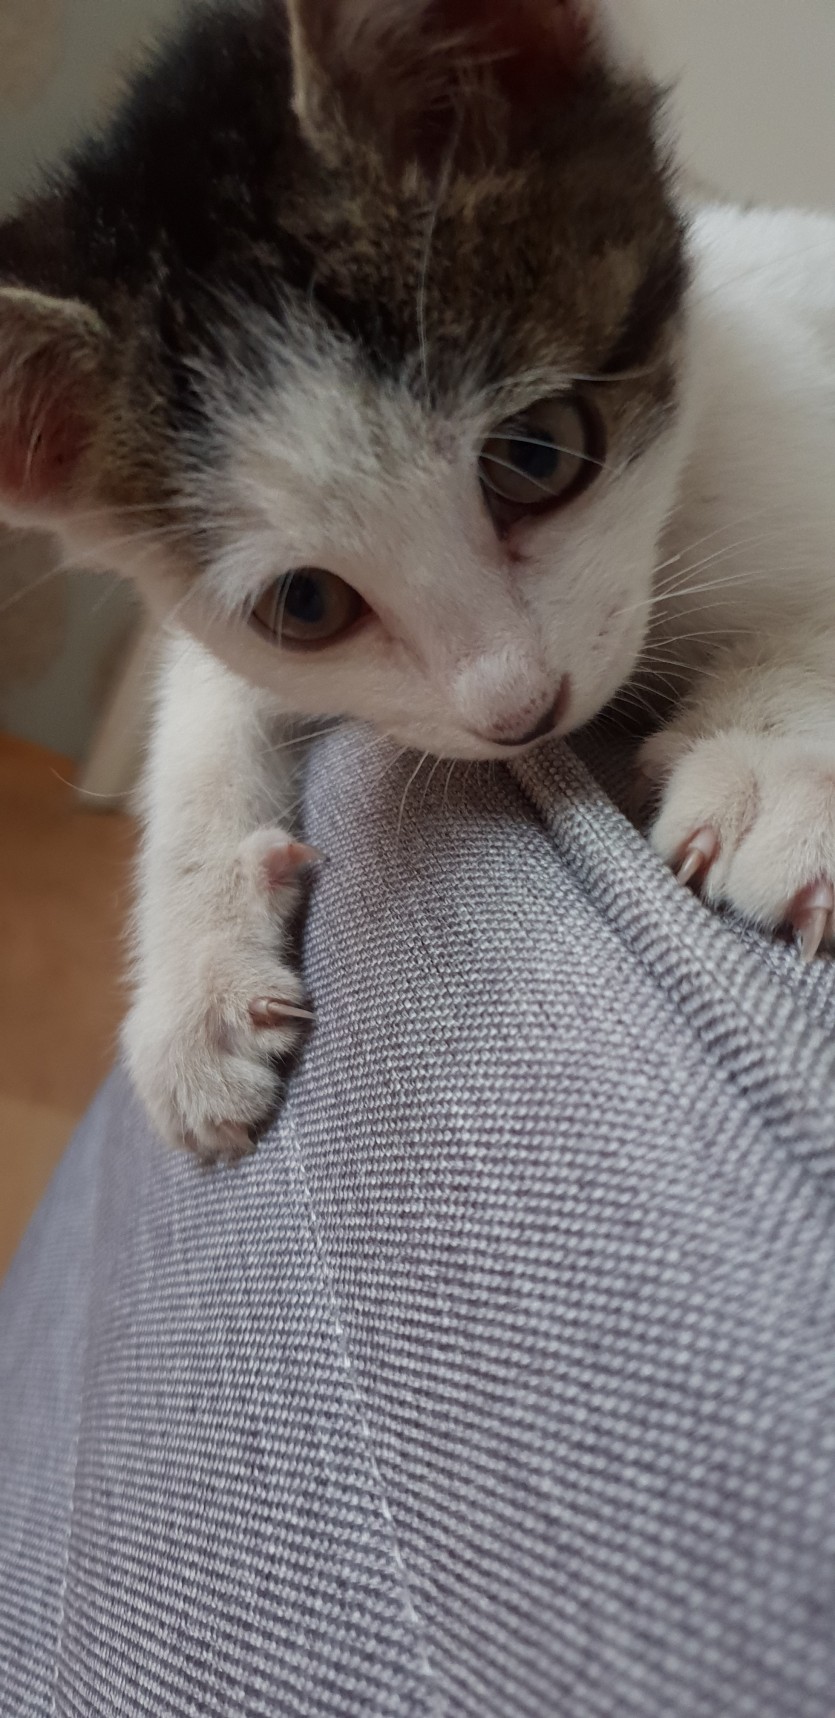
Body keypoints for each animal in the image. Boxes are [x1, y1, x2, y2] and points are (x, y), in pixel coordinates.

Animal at [1, 0, 835, 1159]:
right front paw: (193, 983)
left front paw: (768, 756)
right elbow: (202, 716)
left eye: (534, 452)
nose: (522, 710)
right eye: (305, 604)